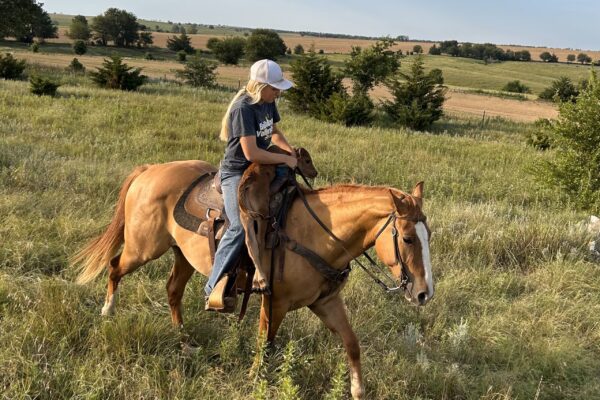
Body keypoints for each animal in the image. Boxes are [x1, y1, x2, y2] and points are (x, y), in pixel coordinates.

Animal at [74, 160, 432, 400]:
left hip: (182, 255)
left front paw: (358, 389)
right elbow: (266, 345)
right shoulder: (275, 301)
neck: (315, 233)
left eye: (429, 235)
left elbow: (351, 343)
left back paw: (185, 340)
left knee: (173, 290)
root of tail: (150, 170)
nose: (424, 294)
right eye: (408, 238)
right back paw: (107, 312)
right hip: (143, 247)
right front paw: (254, 379)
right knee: (114, 267)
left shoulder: (325, 301)